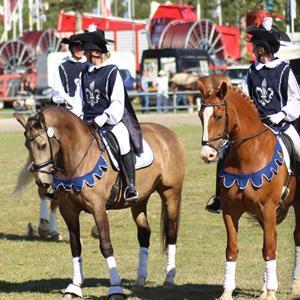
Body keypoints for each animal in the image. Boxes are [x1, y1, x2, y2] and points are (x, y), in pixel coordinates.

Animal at [14, 106, 185, 298]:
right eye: (27, 145)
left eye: (43, 145)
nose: (42, 181)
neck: (77, 157)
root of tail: (167, 133)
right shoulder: (68, 210)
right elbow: (75, 246)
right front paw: (74, 287)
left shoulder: (98, 208)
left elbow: (106, 245)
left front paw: (116, 287)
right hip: (140, 200)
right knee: (144, 233)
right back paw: (140, 279)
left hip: (171, 193)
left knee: (171, 231)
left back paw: (169, 278)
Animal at [198, 81, 298, 300]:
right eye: (201, 115)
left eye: (219, 116)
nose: (207, 155)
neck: (249, 154)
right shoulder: (230, 211)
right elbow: (232, 249)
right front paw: (227, 291)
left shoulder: (267, 208)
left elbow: (268, 249)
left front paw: (272, 293)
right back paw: (264, 287)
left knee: (295, 237)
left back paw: (294, 286)